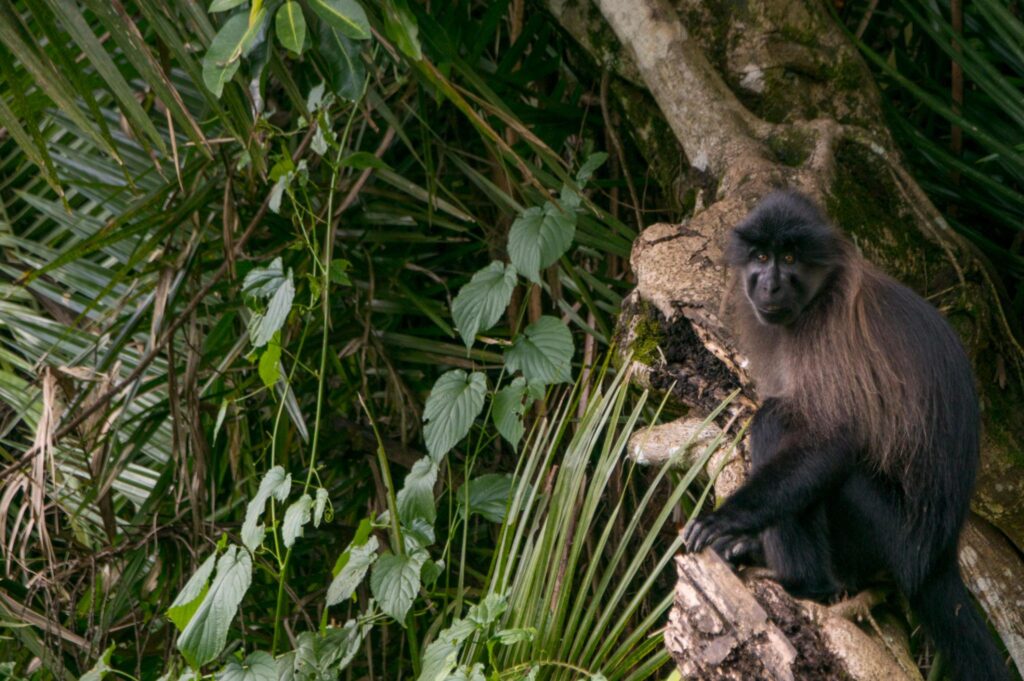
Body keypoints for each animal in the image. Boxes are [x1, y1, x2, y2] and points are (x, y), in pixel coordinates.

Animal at [683, 191, 1009, 681]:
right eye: (761, 257)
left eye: (789, 258)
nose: (769, 285)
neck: (820, 293)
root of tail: (937, 559)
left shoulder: (827, 330)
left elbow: (830, 443)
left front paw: (728, 520)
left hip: (890, 538)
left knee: (778, 422)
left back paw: (805, 583)